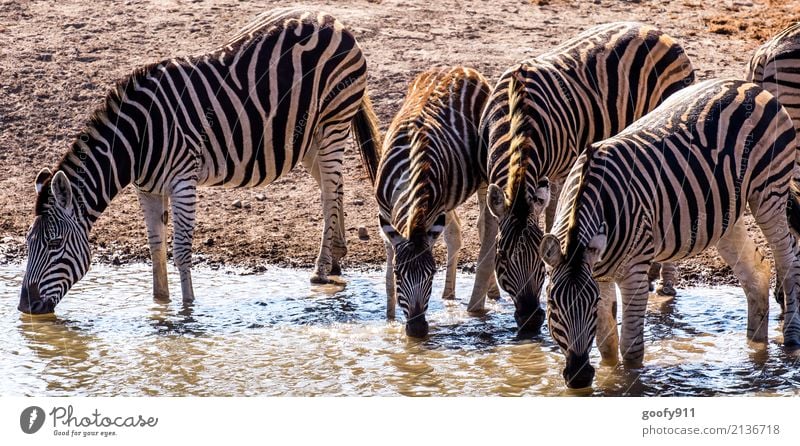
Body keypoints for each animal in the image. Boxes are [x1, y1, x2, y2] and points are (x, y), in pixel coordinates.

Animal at [18, 6, 382, 314]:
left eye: (54, 244)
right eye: (28, 243)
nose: (25, 308)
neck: (136, 140)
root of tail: (331, 18)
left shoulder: (183, 181)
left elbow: (180, 248)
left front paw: (188, 309)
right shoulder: (146, 188)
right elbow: (156, 246)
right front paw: (159, 304)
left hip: (333, 121)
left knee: (329, 190)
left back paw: (321, 269)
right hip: (305, 138)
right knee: (334, 186)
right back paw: (336, 257)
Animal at [376, 66, 494, 338]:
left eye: (431, 274)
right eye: (399, 274)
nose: (418, 330)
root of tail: (459, 67)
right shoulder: (386, 215)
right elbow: (388, 270)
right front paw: (389, 320)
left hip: (482, 174)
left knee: (484, 228)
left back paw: (491, 291)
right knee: (455, 233)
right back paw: (449, 294)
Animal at [468, 21, 692, 334]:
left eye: (539, 262)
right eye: (503, 258)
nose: (531, 320)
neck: (517, 112)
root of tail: (655, 30)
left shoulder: (561, 171)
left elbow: (552, 219)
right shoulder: (489, 177)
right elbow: (487, 231)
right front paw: (480, 302)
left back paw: (666, 285)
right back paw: (651, 275)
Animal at [536, 80, 800, 390]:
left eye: (589, 306)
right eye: (553, 305)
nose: (579, 377)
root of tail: (747, 84)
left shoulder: (635, 271)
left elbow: (631, 349)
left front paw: (630, 383)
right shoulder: (599, 275)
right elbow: (607, 347)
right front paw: (608, 376)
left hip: (769, 192)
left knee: (788, 260)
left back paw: (790, 338)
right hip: (726, 215)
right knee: (757, 272)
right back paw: (754, 350)